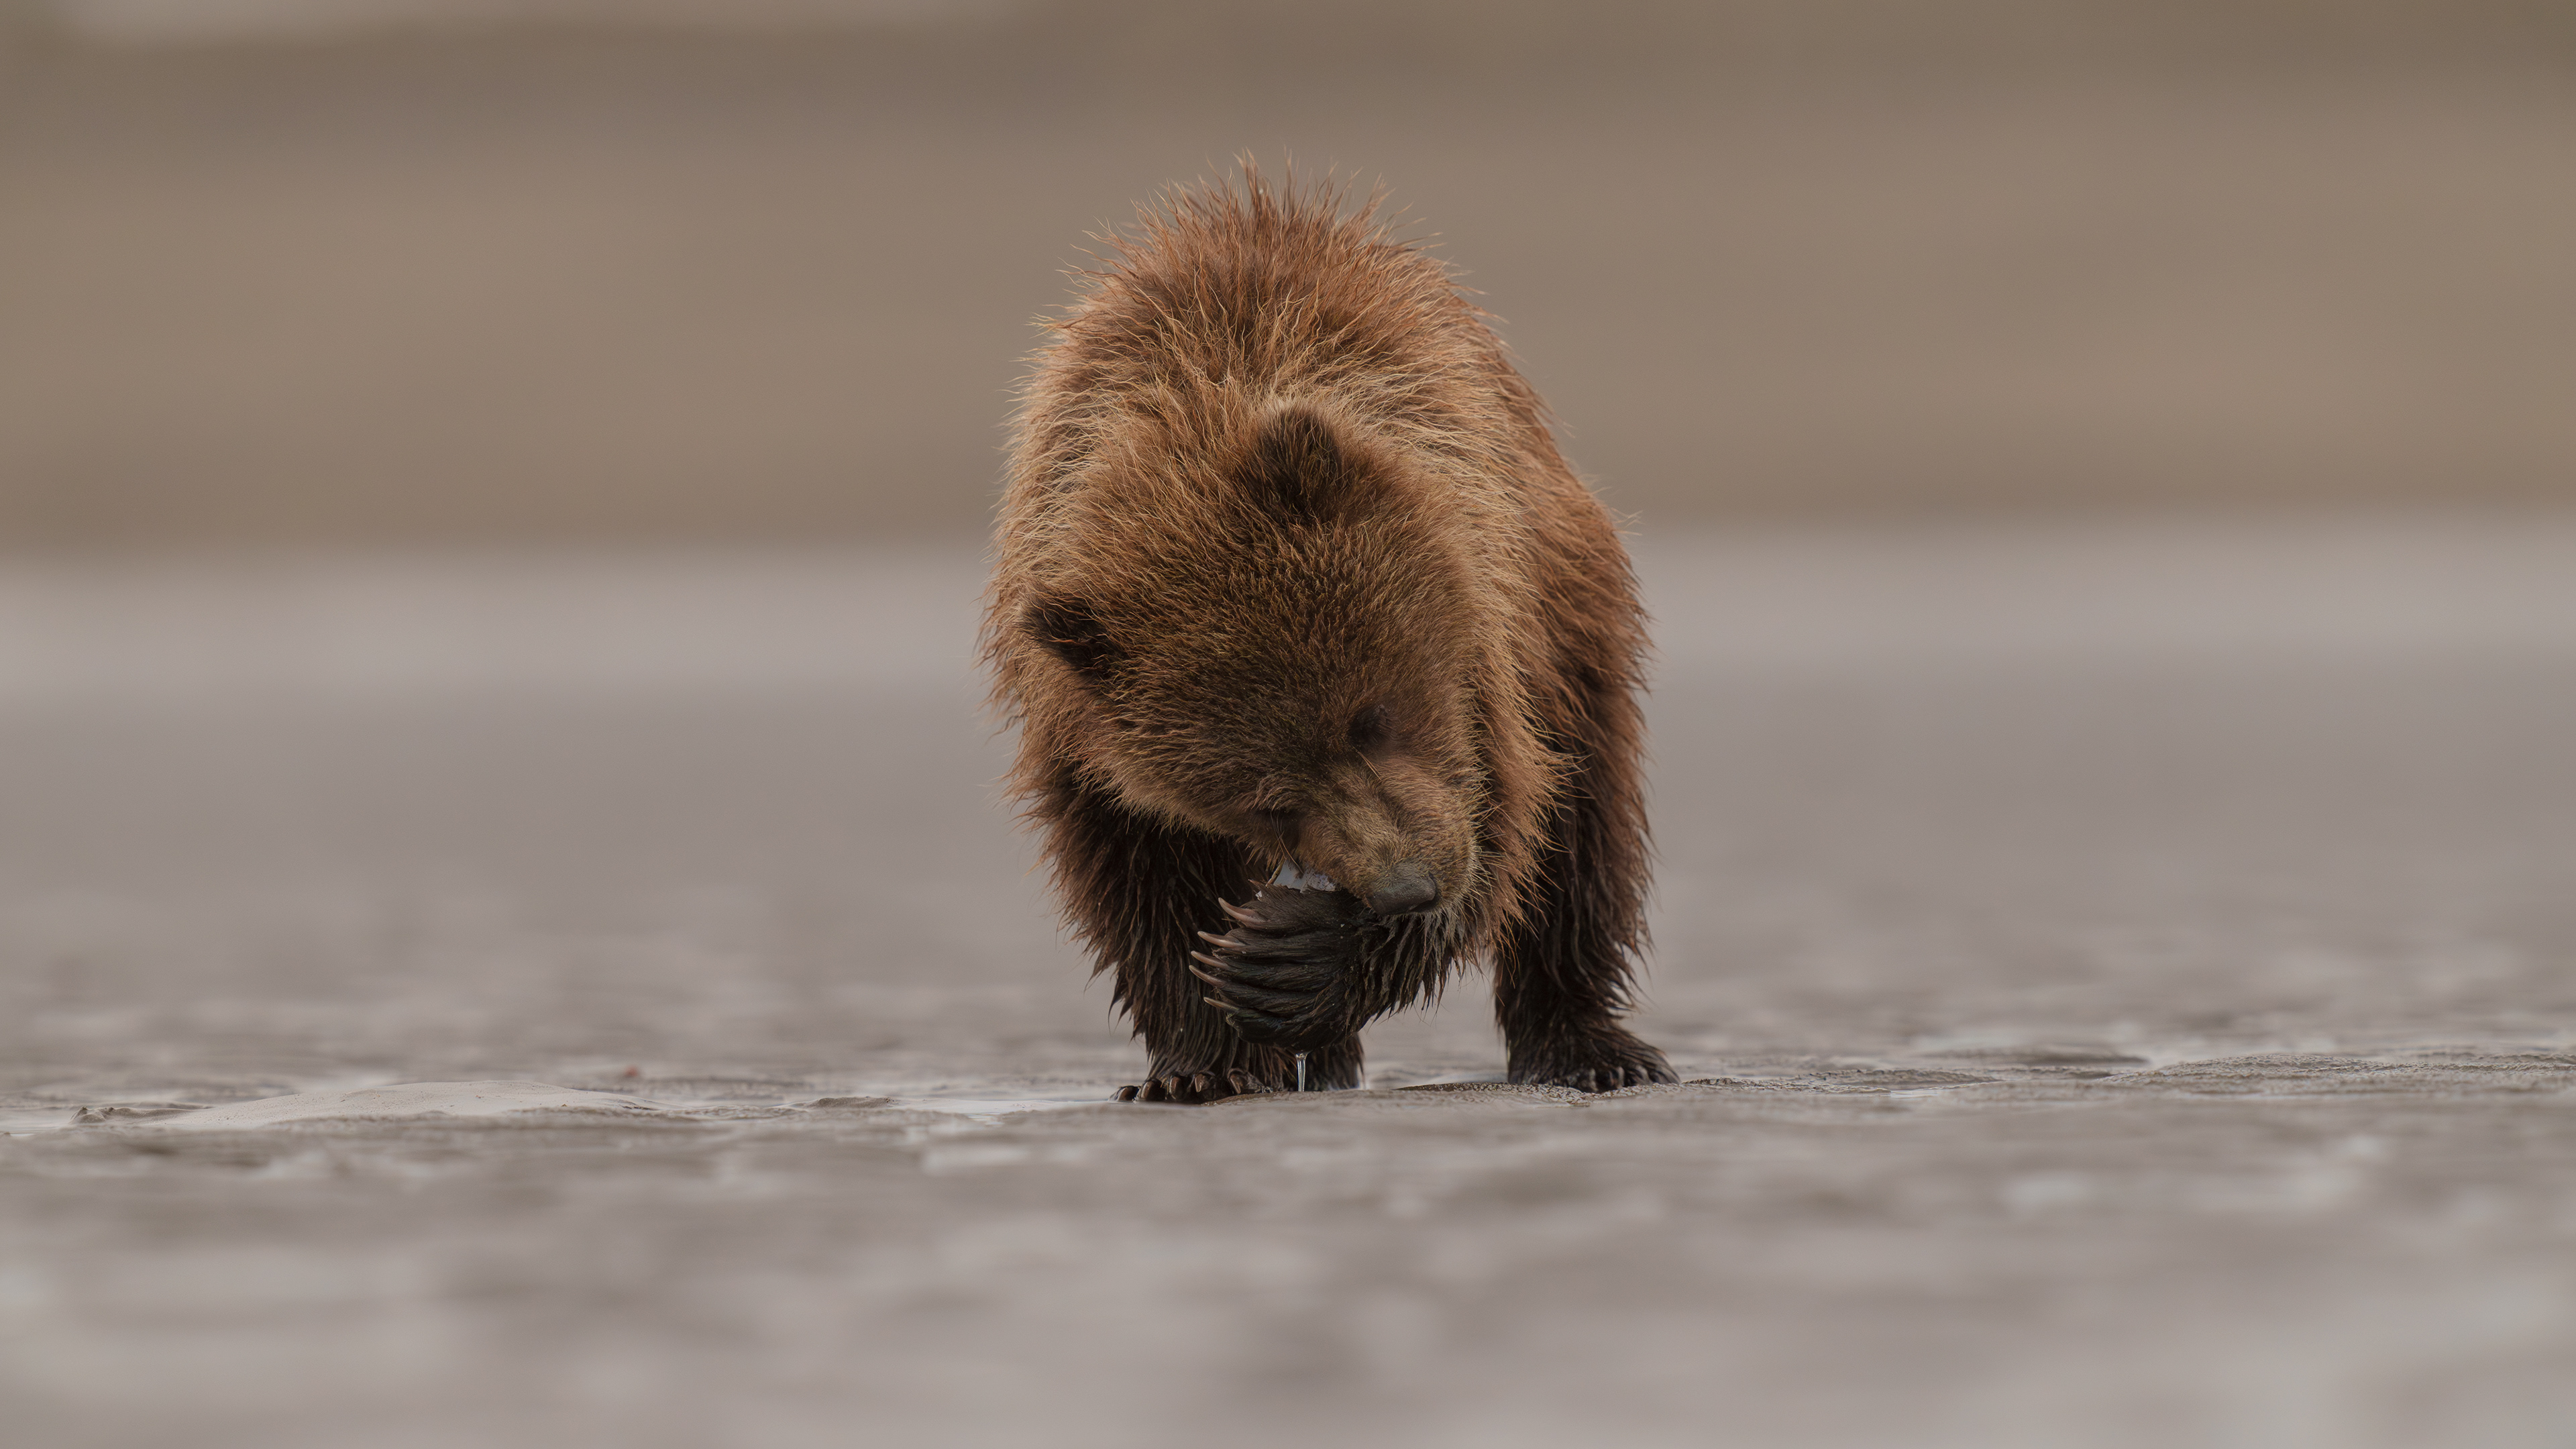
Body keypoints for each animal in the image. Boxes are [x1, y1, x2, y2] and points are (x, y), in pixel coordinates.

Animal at [983, 166, 1675, 1103]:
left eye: (1371, 717)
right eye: (1266, 799)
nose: (1406, 887)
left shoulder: (1484, 641)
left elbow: (1506, 830)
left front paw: (1295, 962)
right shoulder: (1080, 722)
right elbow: (1141, 881)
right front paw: (1198, 1065)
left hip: (1571, 604)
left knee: (1584, 834)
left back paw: (1590, 1047)